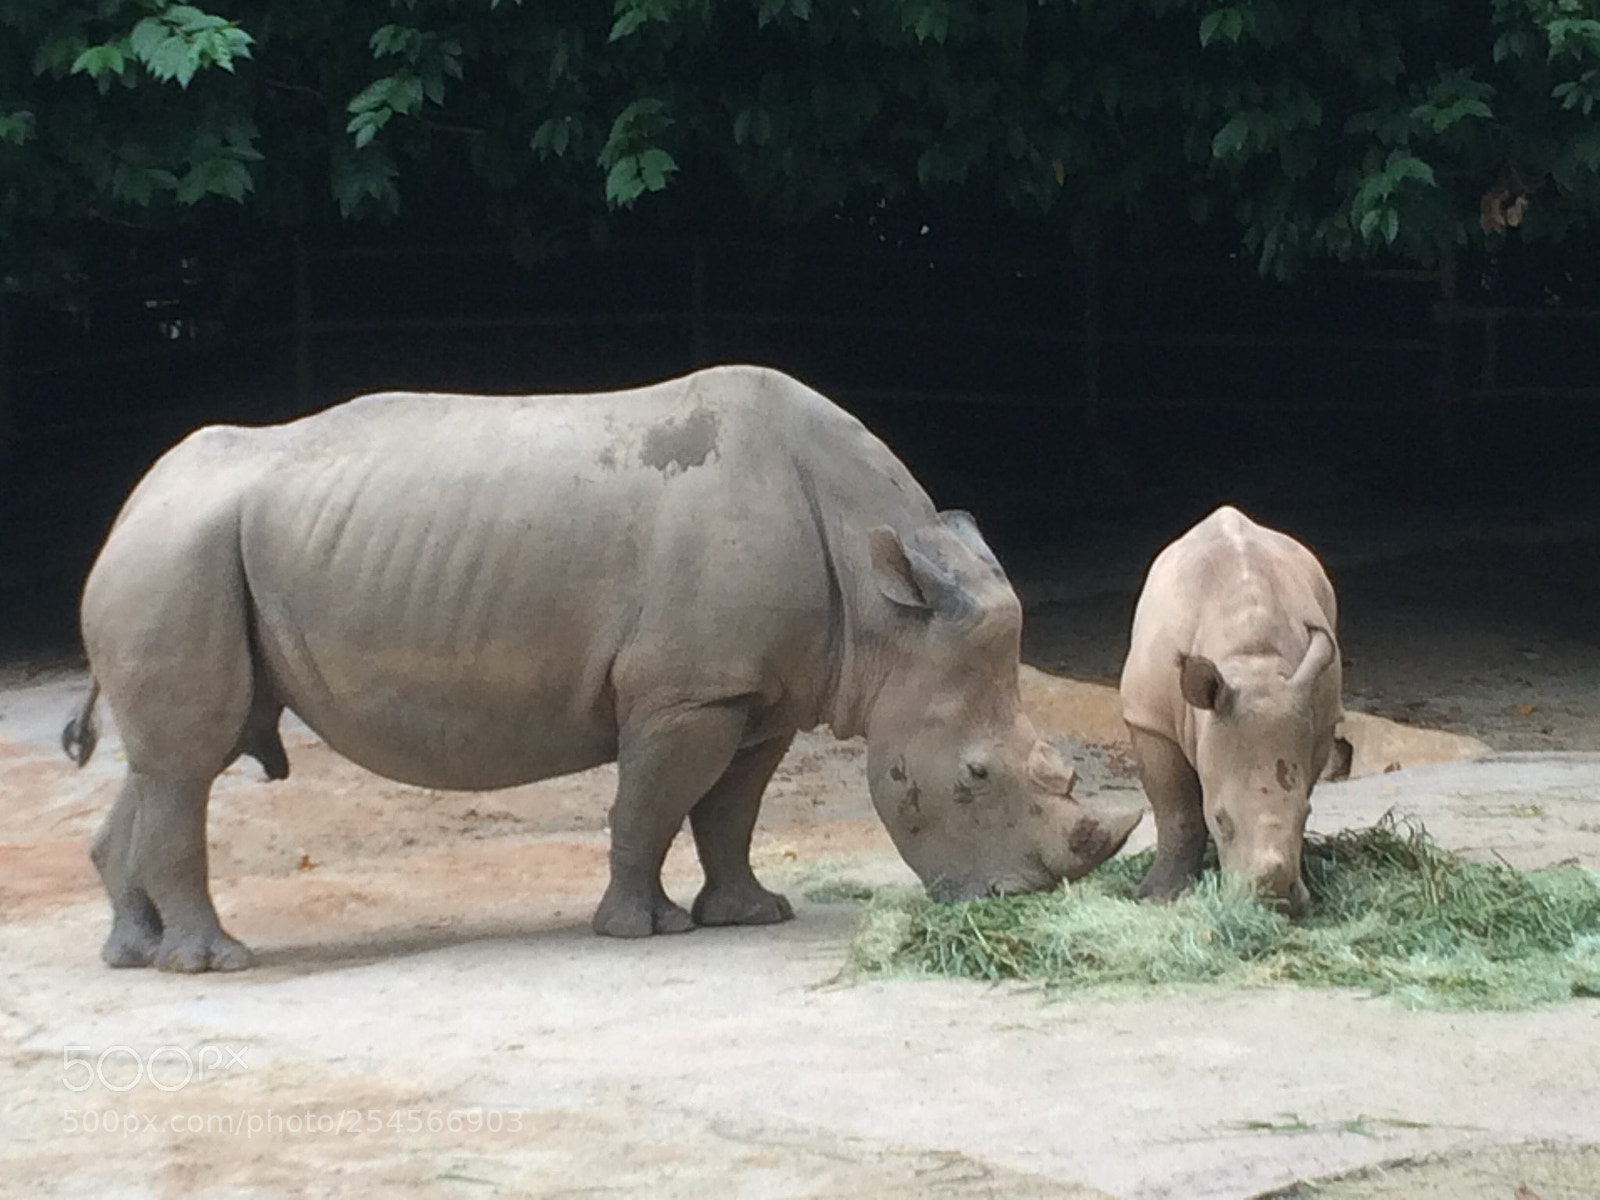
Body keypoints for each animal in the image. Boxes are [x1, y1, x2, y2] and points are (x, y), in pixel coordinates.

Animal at [63, 365, 1140, 972]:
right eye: (973, 777)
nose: (1013, 902)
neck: (887, 615)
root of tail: (130, 503)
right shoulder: (688, 692)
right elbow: (650, 805)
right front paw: (638, 933)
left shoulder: (762, 693)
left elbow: (729, 812)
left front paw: (749, 915)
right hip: (178, 555)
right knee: (190, 761)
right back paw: (215, 964)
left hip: (184, 551)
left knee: (169, 762)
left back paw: (134, 955)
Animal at [1119, 505, 1341, 915]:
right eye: (1221, 821)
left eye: (1307, 816)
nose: (1274, 902)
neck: (1251, 659)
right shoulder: (1149, 719)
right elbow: (1178, 812)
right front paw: (1160, 896)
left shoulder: (1318, 716)